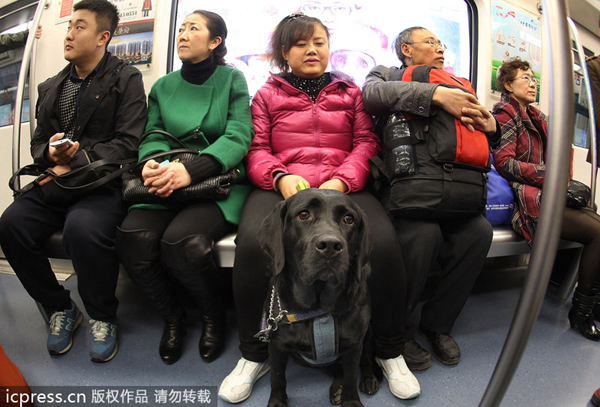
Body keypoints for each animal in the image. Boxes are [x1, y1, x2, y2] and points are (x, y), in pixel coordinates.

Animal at [254, 190, 378, 406]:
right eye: (304, 214)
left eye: (349, 219)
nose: (330, 245)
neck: (317, 311)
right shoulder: (277, 346)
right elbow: (277, 378)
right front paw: (277, 402)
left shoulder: (354, 344)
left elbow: (351, 375)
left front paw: (351, 400)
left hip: (368, 333)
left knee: (365, 360)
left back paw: (368, 379)